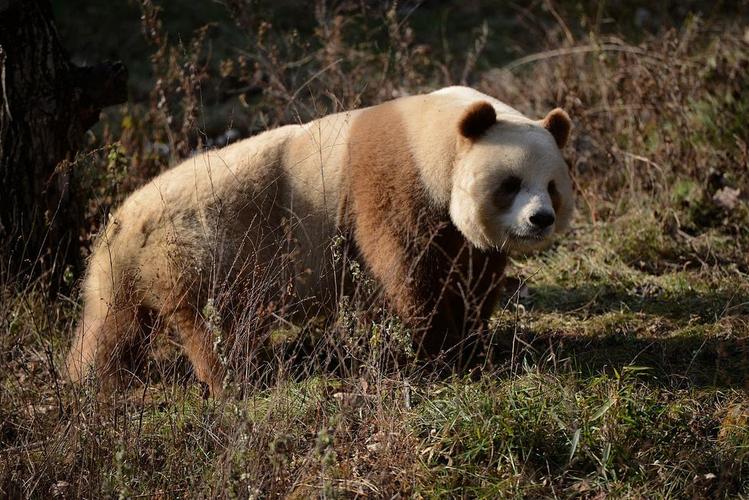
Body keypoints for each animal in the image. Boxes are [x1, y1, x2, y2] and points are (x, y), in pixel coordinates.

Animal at [66, 86, 573, 395]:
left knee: (113, 324)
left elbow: (471, 272)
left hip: (125, 270)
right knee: (207, 322)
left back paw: (90, 379)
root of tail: (126, 222)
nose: (540, 220)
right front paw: (439, 348)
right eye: (510, 183)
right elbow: (407, 265)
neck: (434, 135)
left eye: (552, 186)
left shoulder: (457, 227)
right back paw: (235, 379)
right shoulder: (392, 180)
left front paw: (471, 340)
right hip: (197, 244)